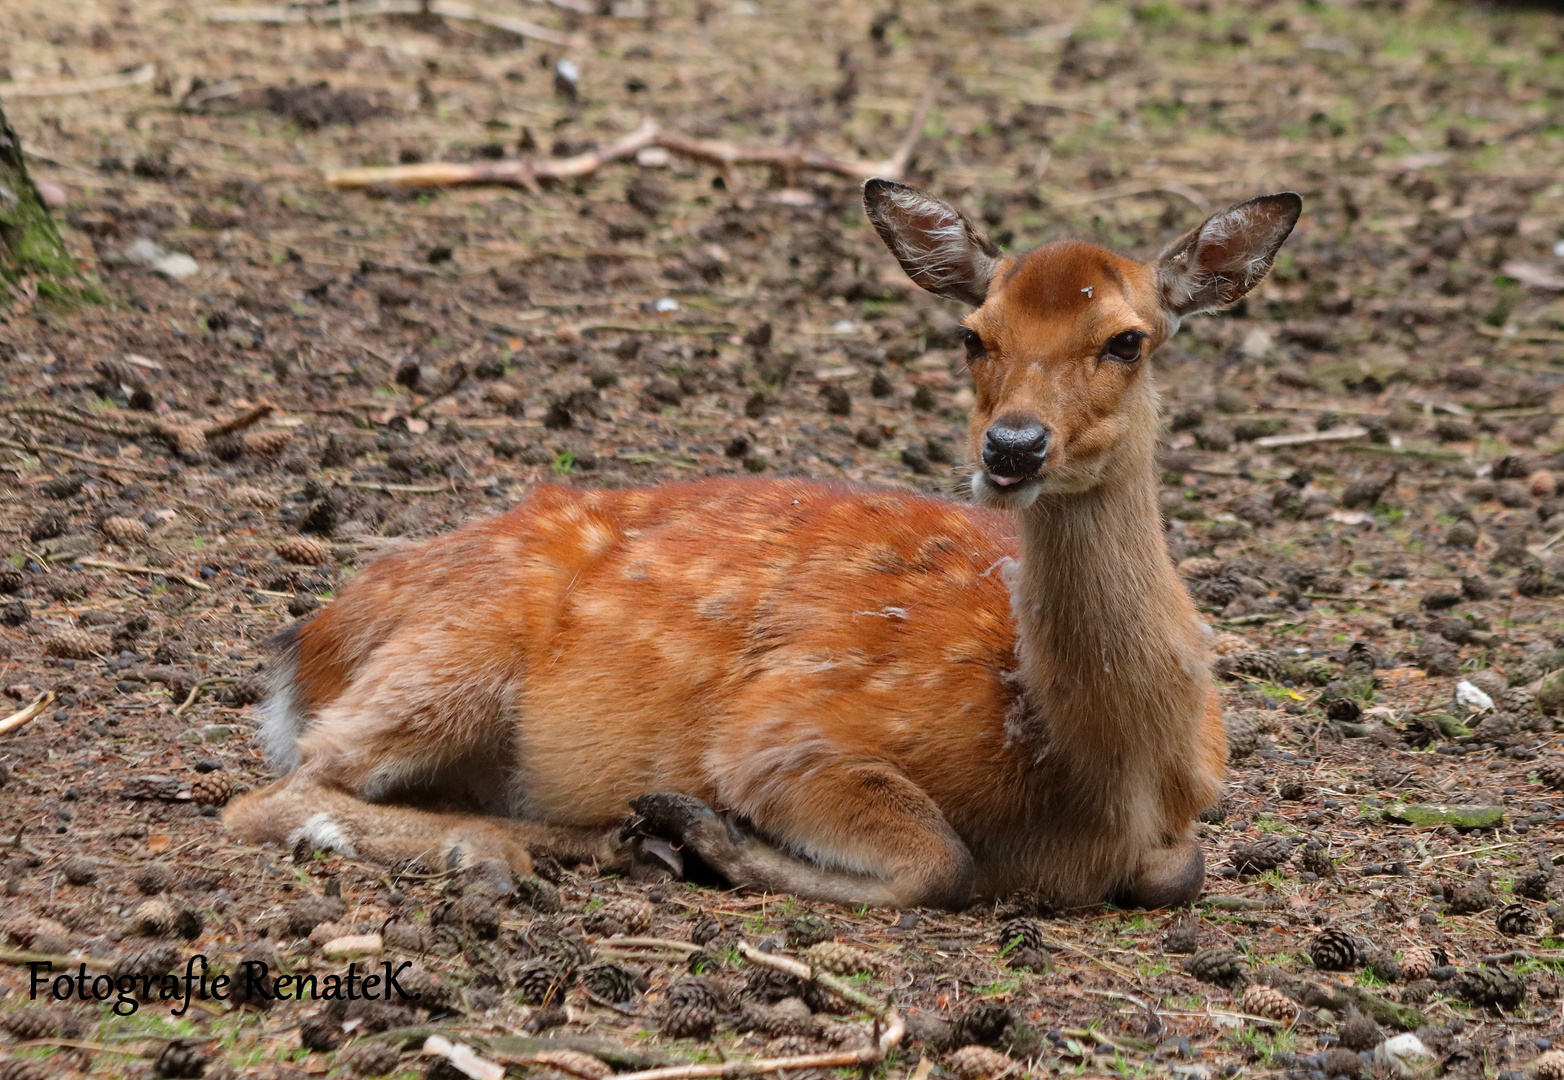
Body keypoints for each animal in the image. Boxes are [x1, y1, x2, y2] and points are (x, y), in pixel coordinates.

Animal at [226, 183, 1301, 912]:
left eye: (1128, 339)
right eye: (973, 333)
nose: (1012, 447)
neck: (1098, 775)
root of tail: (307, 645)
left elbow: (1181, 867)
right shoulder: (782, 732)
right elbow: (941, 861)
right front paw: (708, 830)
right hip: (453, 654)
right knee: (275, 795)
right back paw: (516, 846)